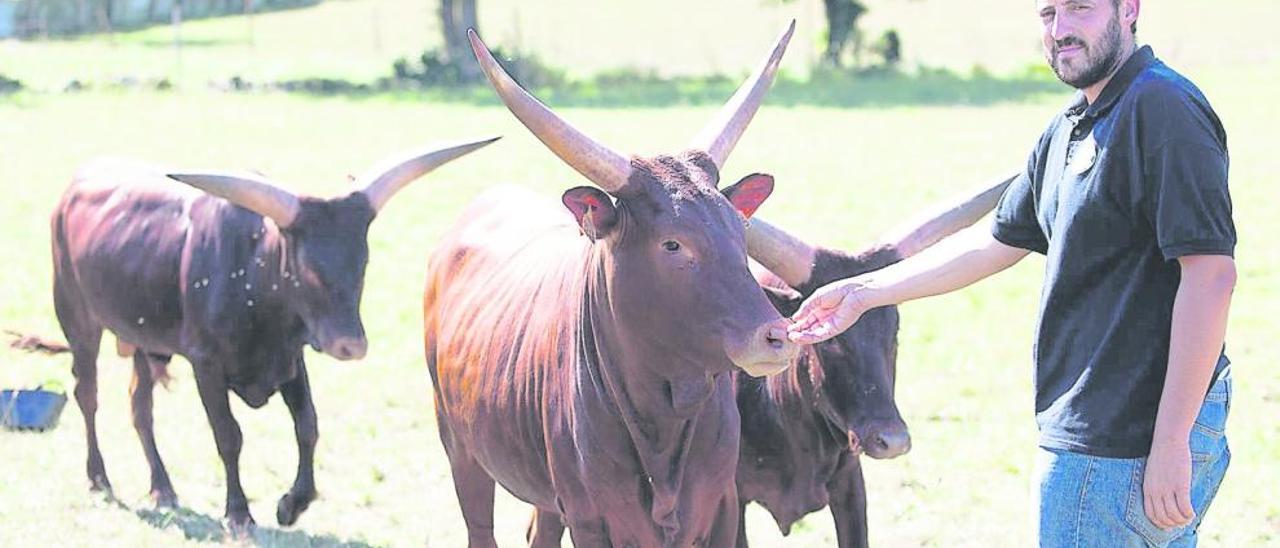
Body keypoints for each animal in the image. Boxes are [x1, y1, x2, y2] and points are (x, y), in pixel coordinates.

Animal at [47, 138, 494, 535]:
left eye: (363, 262)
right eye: (309, 267)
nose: (351, 345)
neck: (254, 276)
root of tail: (73, 186)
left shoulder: (291, 358)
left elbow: (308, 426)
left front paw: (292, 505)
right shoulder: (205, 364)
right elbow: (229, 436)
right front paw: (239, 513)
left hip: (144, 339)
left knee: (140, 406)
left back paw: (162, 487)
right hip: (77, 320)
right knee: (87, 395)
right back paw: (99, 478)